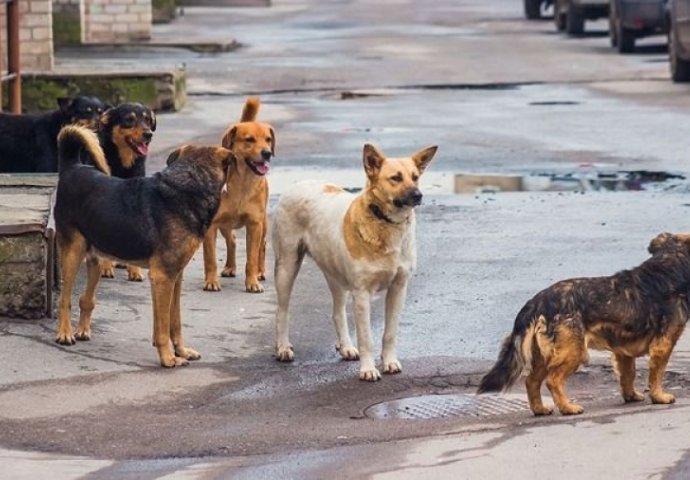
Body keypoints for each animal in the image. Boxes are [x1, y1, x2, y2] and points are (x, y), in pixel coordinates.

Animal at [53, 124, 234, 368]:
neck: (189, 185)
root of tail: (72, 167)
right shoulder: (163, 277)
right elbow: (163, 326)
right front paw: (168, 358)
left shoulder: (175, 277)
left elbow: (174, 321)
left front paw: (181, 351)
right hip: (73, 253)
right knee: (65, 299)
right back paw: (65, 333)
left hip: (96, 259)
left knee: (86, 299)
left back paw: (82, 330)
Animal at [95, 101, 156, 282]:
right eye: (129, 119)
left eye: (148, 120)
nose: (148, 134)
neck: (123, 164)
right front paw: (106, 267)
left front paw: (134, 270)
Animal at [200, 97, 272, 292]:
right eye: (249, 140)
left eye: (268, 139)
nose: (267, 153)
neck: (242, 183)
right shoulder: (211, 226)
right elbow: (210, 258)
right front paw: (211, 281)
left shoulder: (254, 224)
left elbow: (252, 258)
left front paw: (252, 282)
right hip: (224, 224)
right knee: (231, 240)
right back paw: (230, 267)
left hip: (263, 223)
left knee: (262, 246)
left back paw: (261, 272)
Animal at [270, 142, 436, 382]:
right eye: (395, 178)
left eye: (415, 177)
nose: (418, 195)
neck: (385, 223)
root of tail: (298, 184)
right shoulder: (362, 294)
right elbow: (366, 338)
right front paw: (368, 369)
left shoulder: (398, 289)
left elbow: (390, 333)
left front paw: (389, 362)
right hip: (287, 267)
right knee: (282, 311)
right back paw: (283, 347)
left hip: (336, 276)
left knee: (337, 312)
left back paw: (346, 347)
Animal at [476, 232, 688, 416]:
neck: (670, 264)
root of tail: (538, 301)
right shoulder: (663, 345)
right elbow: (657, 375)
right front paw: (659, 397)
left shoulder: (623, 351)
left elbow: (628, 375)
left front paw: (631, 396)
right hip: (574, 352)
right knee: (552, 381)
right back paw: (567, 408)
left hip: (544, 355)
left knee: (531, 381)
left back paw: (540, 409)